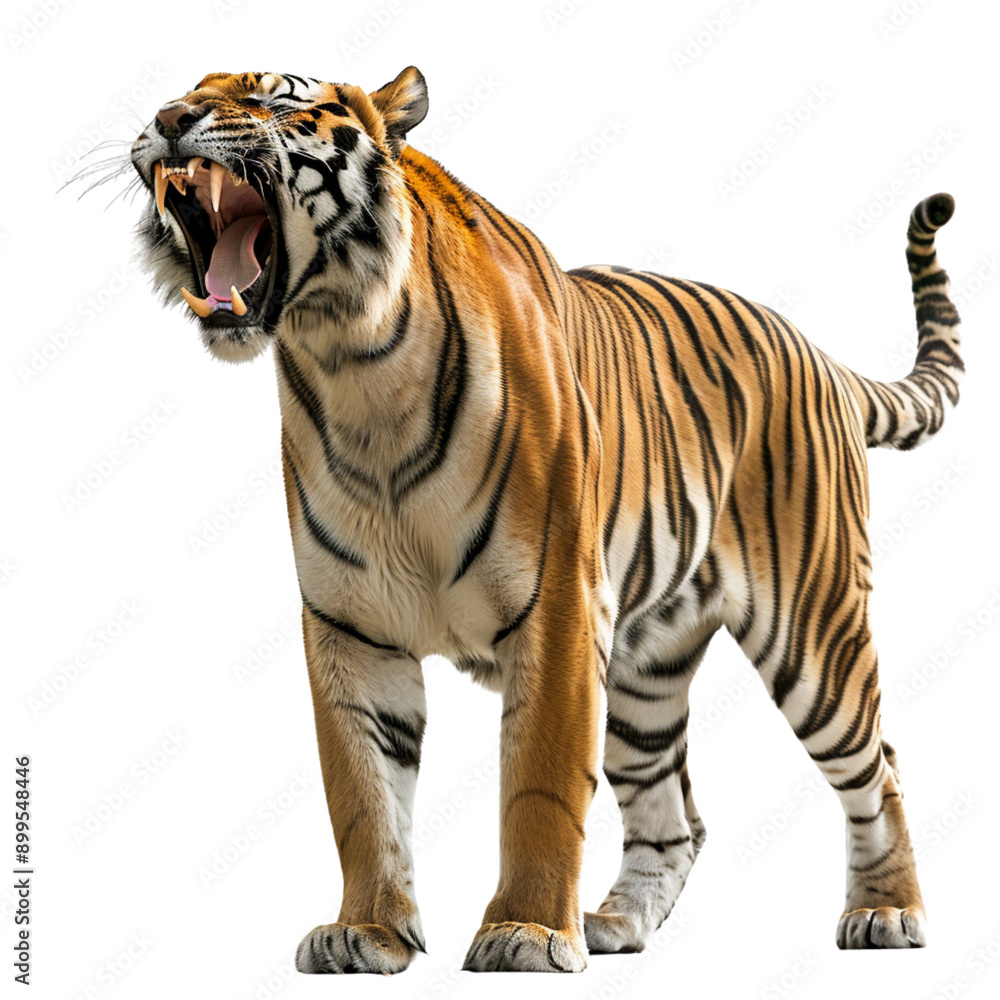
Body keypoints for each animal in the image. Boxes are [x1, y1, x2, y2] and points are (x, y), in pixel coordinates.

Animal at [128, 67, 964, 973]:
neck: (353, 359)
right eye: (185, 88)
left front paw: (525, 933)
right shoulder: (351, 627)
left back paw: (886, 911)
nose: (169, 119)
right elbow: (362, 795)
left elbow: (539, 785)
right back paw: (618, 924)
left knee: (878, 767)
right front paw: (368, 931)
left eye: (275, 99)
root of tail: (819, 354)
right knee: (676, 815)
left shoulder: (559, 607)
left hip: (814, 632)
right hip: (645, 671)